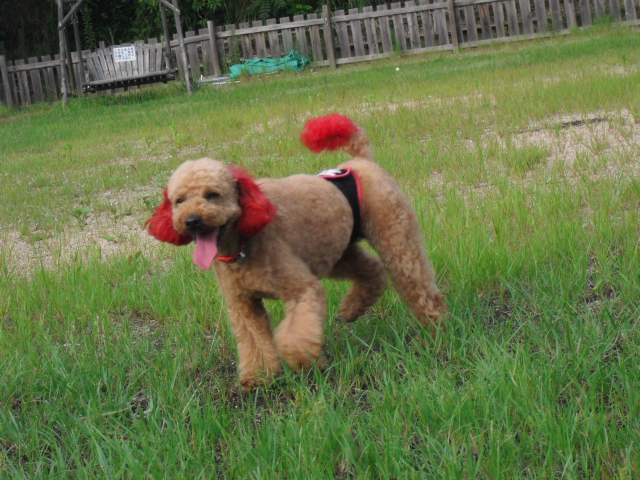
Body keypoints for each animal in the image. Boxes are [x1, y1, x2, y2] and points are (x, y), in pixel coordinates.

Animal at [146, 114, 444, 391]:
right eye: (178, 201)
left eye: (213, 195)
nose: (192, 221)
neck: (242, 243)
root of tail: (360, 162)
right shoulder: (243, 304)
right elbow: (253, 341)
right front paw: (257, 377)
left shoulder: (302, 289)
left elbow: (294, 337)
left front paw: (303, 361)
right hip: (335, 250)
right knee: (372, 270)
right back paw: (351, 309)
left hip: (396, 238)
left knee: (417, 286)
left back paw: (434, 330)